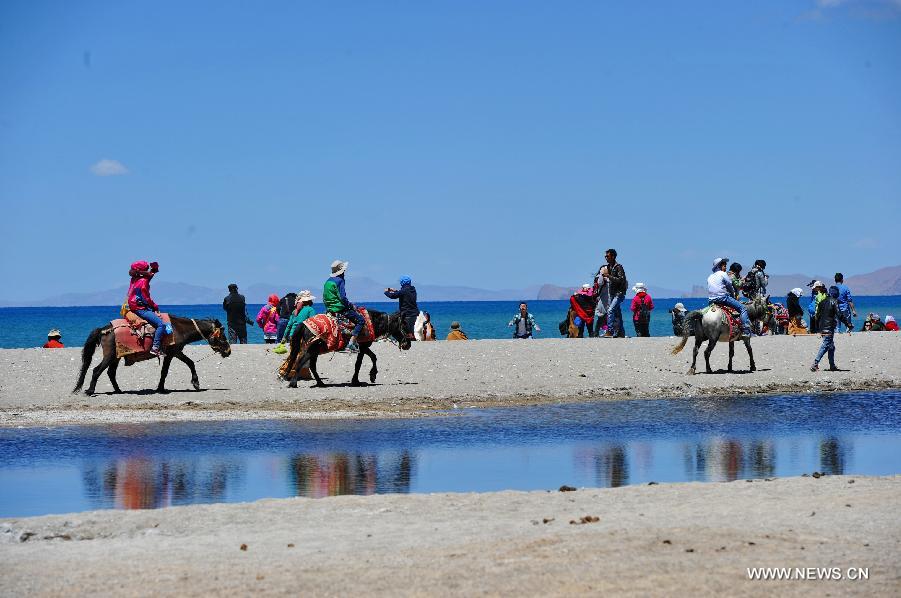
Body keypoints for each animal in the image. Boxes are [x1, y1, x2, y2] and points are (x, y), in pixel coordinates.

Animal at [73, 316, 230, 396]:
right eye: (222, 335)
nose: (228, 351)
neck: (179, 328)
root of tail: (104, 329)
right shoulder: (171, 353)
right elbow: (165, 371)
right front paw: (161, 388)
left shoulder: (177, 352)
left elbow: (190, 363)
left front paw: (195, 383)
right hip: (110, 356)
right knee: (96, 370)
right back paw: (90, 391)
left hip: (116, 357)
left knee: (111, 373)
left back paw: (118, 390)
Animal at [284, 312, 412, 392]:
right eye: (404, 324)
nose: (408, 345)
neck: (372, 322)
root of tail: (303, 323)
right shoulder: (363, 347)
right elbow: (359, 364)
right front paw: (357, 380)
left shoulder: (364, 346)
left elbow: (373, 357)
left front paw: (372, 375)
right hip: (312, 350)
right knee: (300, 362)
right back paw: (293, 383)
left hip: (315, 351)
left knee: (312, 366)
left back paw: (320, 383)